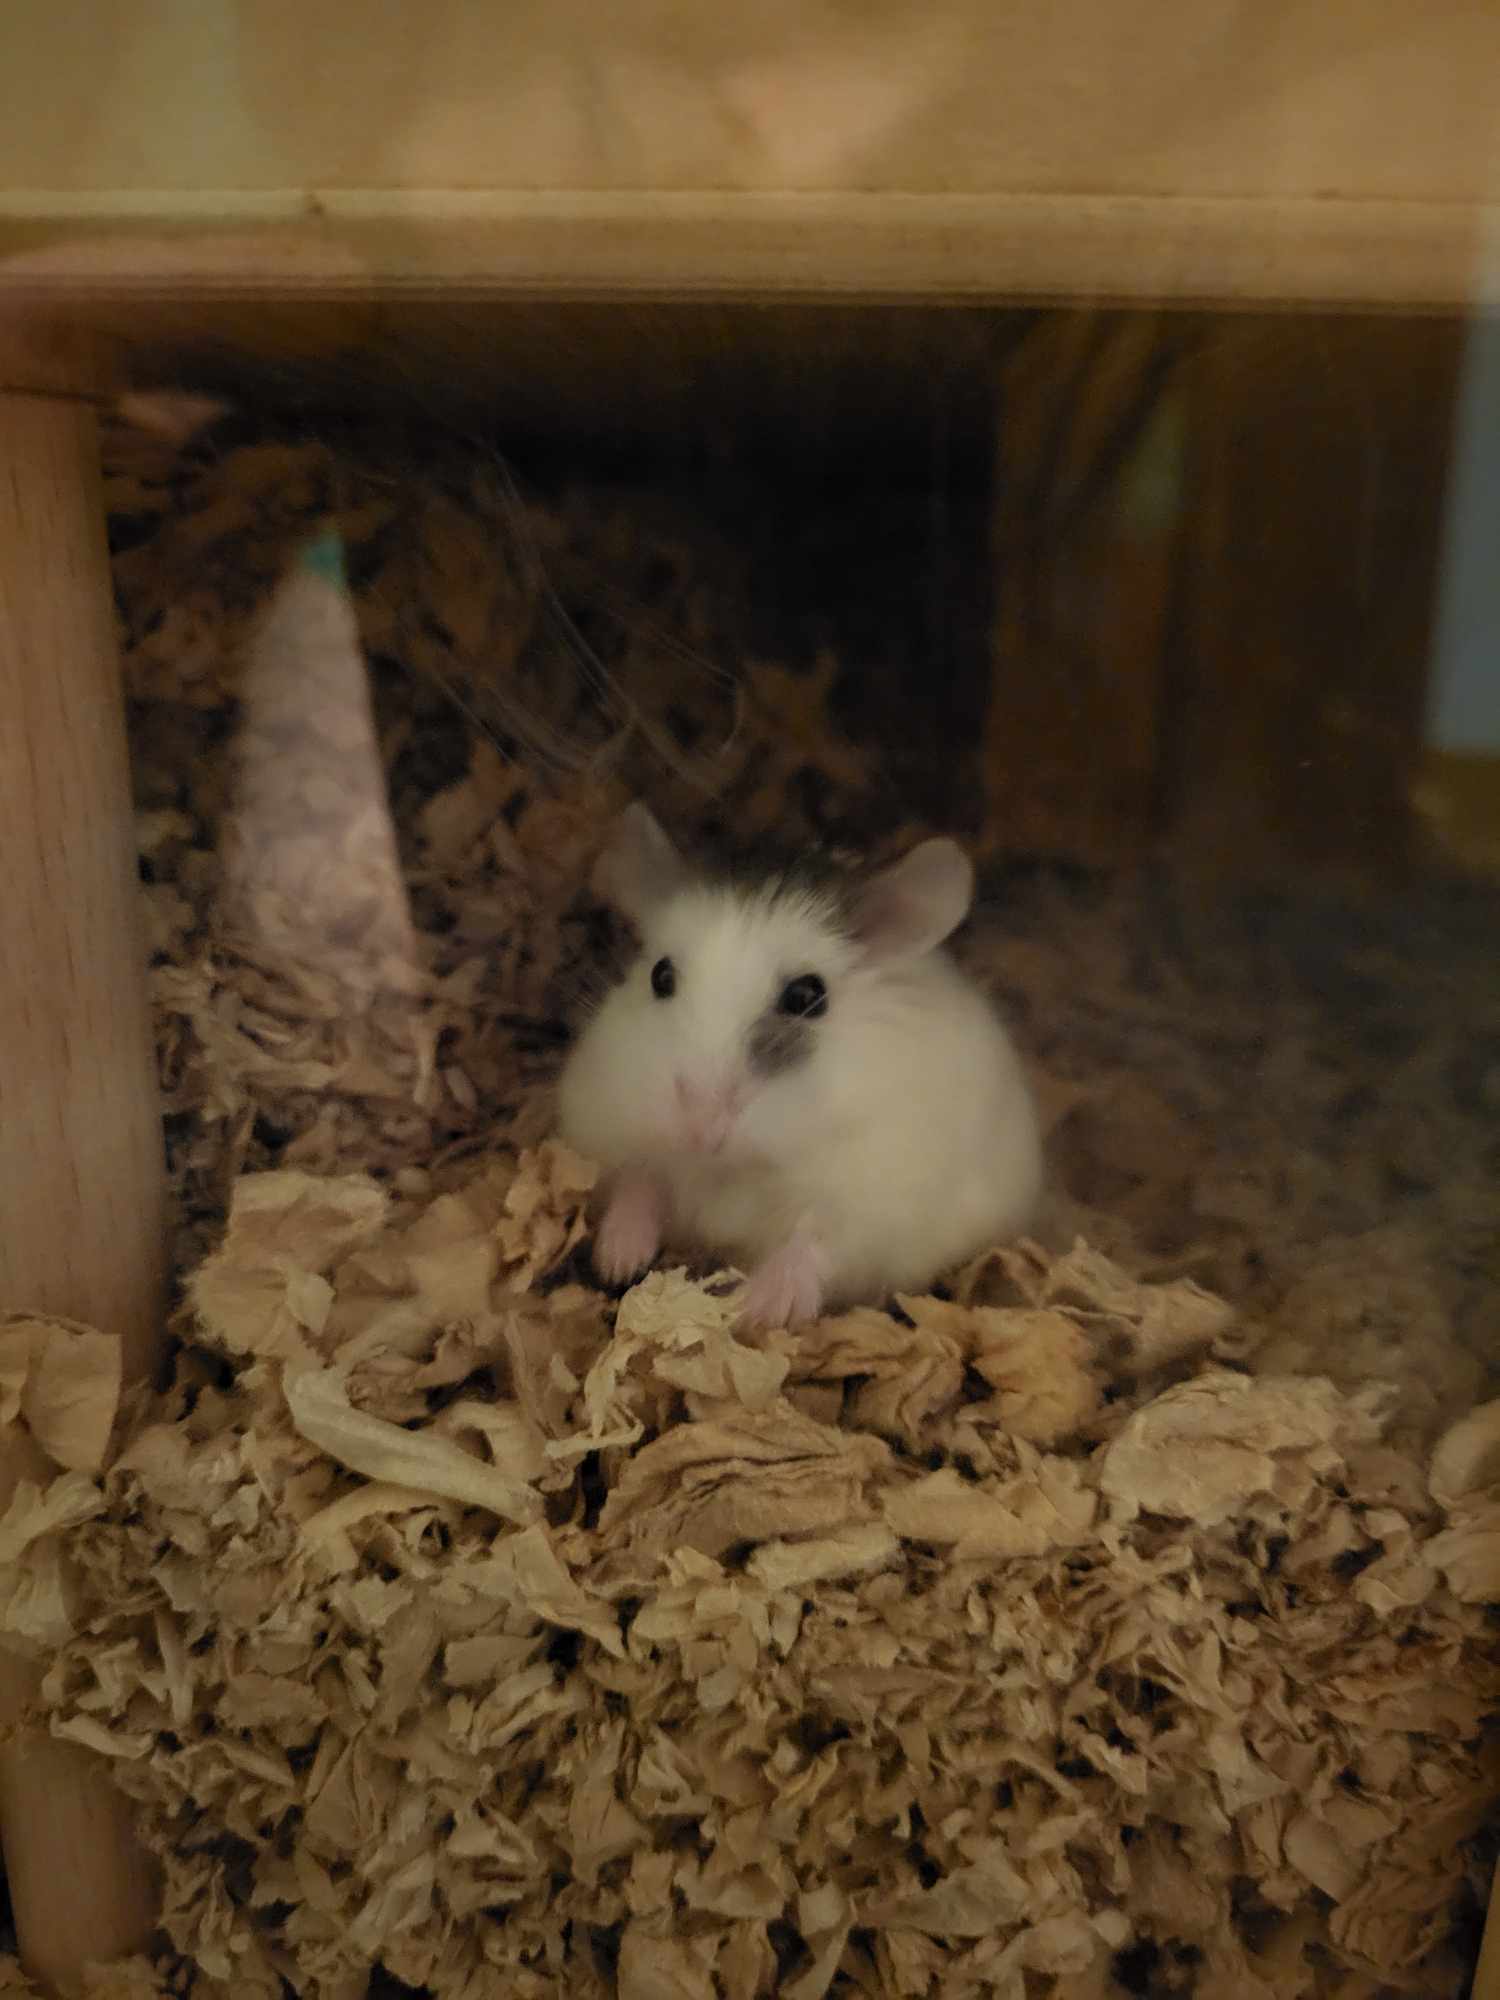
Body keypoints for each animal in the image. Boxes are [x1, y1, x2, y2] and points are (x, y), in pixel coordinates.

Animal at [557, 803, 1043, 1330]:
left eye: (806, 996)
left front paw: (752, 1309)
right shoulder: (616, 1134)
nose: (701, 1130)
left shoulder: (873, 1198)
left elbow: (813, 1241)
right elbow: (637, 1183)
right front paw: (617, 1261)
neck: (734, 1167)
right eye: (660, 976)